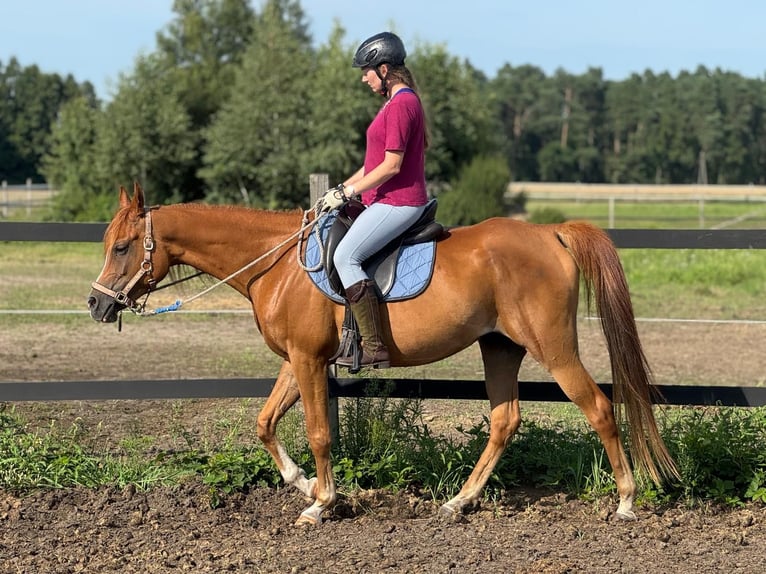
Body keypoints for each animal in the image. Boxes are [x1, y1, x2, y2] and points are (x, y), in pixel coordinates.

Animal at [88, 183, 678, 525]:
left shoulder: (308, 360)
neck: (276, 263)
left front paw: (321, 504)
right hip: (501, 347)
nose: (97, 304)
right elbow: (264, 422)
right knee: (505, 420)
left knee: (597, 407)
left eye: (122, 247)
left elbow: (318, 432)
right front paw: (304, 484)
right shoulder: (297, 359)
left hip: (551, 347)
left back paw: (626, 501)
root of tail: (551, 233)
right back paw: (458, 502)